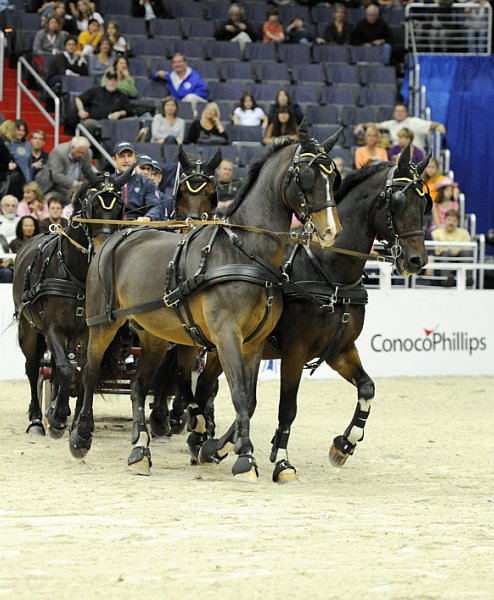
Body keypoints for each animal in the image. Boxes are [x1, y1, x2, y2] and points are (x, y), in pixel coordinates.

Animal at [12, 168, 131, 436]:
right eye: (91, 205)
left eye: (119, 206)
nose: (101, 249)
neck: (77, 276)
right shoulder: (52, 328)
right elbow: (66, 369)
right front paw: (57, 418)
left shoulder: (88, 332)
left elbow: (86, 372)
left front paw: (76, 420)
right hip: (28, 329)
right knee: (34, 366)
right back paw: (37, 420)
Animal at [70, 123, 344, 482]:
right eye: (308, 177)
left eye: (334, 176)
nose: (331, 231)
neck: (245, 254)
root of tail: (115, 237)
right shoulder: (226, 335)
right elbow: (237, 394)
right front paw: (244, 459)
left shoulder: (253, 342)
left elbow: (248, 398)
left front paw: (220, 446)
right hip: (102, 325)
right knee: (88, 373)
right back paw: (80, 436)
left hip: (155, 336)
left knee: (139, 386)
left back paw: (140, 450)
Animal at [196, 145, 432, 482]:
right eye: (398, 201)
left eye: (425, 202)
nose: (416, 261)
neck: (331, 274)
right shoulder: (295, 351)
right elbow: (287, 408)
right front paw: (282, 462)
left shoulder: (340, 350)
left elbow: (368, 388)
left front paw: (344, 444)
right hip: (222, 344)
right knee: (204, 388)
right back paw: (202, 439)